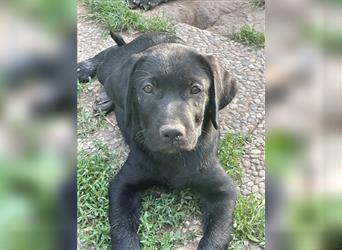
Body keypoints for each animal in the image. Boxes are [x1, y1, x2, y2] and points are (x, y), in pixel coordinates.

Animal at [78, 32, 238, 249]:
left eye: (195, 89)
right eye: (147, 88)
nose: (172, 133)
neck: (173, 159)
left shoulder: (223, 190)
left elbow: (217, 237)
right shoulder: (123, 184)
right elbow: (122, 231)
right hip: (110, 67)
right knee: (108, 56)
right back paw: (84, 69)